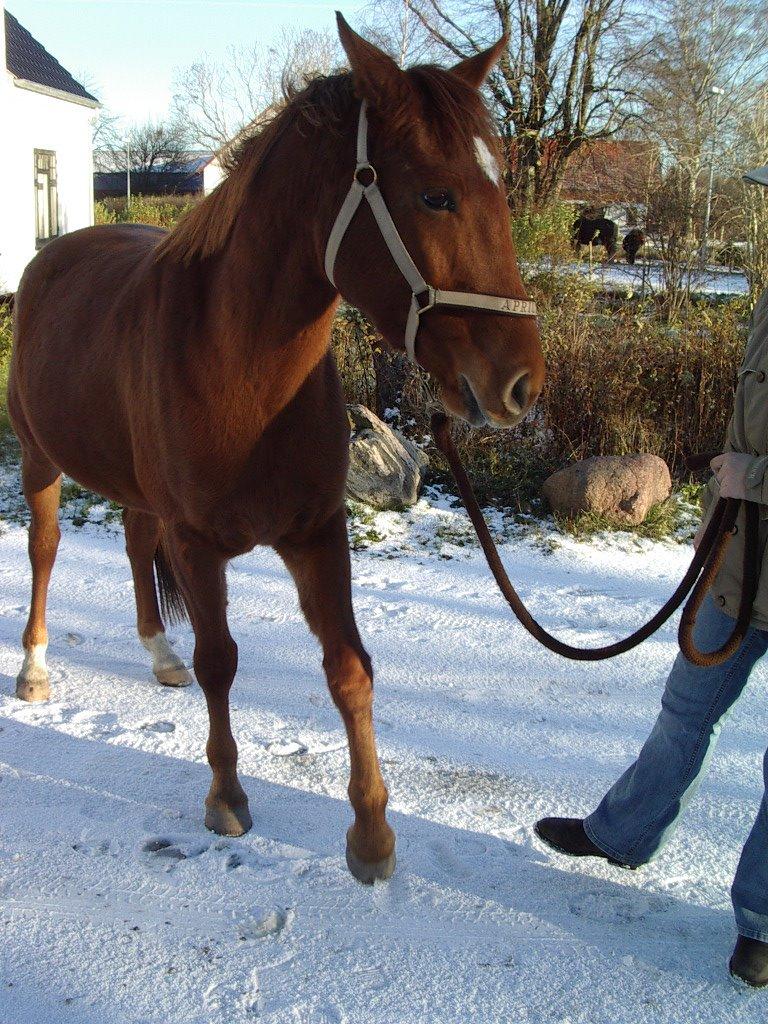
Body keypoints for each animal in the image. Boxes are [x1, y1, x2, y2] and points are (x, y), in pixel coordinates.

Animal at [7, 14, 548, 880]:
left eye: (500, 189)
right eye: (437, 194)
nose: (523, 384)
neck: (240, 368)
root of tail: (56, 248)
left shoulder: (318, 534)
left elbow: (350, 670)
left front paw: (372, 833)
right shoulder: (198, 544)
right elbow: (221, 661)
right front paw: (227, 797)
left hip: (134, 488)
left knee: (133, 542)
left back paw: (156, 653)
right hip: (41, 461)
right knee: (47, 549)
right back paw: (34, 666)